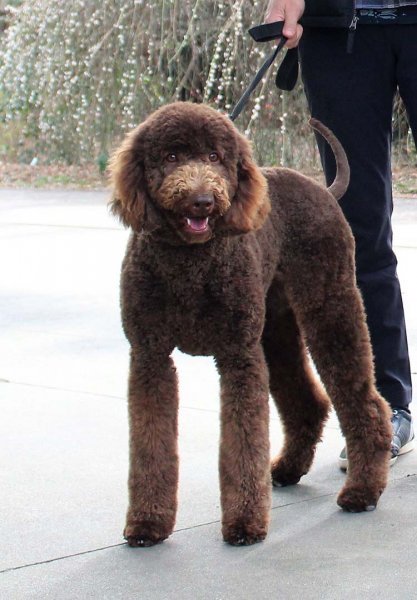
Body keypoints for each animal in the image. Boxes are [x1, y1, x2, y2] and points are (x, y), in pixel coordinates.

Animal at [109, 102, 391, 547]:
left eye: (215, 157)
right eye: (170, 156)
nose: (202, 201)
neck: (190, 262)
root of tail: (322, 189)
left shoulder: (238, 356)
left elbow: (243, 441)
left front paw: (244, 523)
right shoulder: (150, 356)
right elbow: (150, 444)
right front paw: (148, 523)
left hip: (331, 308)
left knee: (366, 402)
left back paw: (362, 492)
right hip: (276, 330)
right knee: (308, 402)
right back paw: (287, 469)